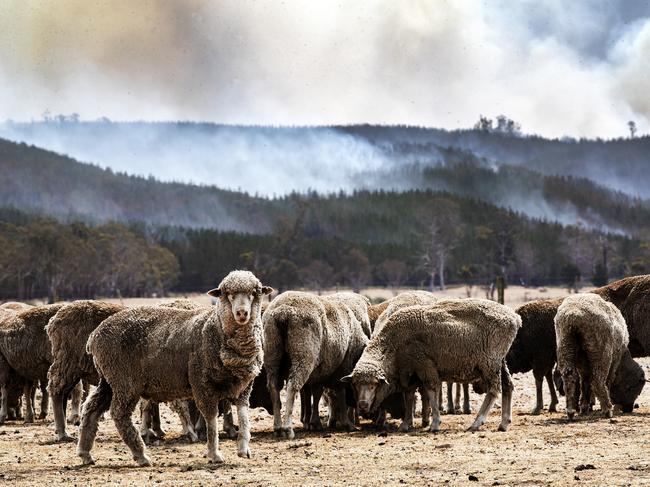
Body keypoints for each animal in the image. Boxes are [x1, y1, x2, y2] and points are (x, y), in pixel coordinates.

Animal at [78, 272, 270, 468]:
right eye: (227, 294)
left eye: (254, 293)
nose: (242, 313)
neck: (215, 328)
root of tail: (94, 336)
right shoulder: (202, 383)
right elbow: (211, 419)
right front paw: (214, 453)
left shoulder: (245, 385)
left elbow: (244, 415)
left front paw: (243, 449)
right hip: (124, 380)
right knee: (119, 413)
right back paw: (141, 455)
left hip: (109, 380)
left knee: (91, 409)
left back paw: (85, 453)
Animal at [262, 292, 364, 440]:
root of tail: (282, 312)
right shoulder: (342, 366)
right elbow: (340, 392)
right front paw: (346, 423)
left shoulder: (320, 371)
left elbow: (315, 393)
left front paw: (313, 422)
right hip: (303, 354)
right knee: (292, 386)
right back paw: (288, 428)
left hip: (272, 352)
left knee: (274, 387)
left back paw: (278, 427)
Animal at [342, 300, 520, 432]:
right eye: (355, 385)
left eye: (373, 385)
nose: (362, 405)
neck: (393, 345)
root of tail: (515, 317)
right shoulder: (409, 373)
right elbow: (409, 396)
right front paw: (405, 424)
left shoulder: (425, 366)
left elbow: (432, 392)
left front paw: (434, 423)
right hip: (500, 362)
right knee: (508, 386)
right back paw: (504, 423)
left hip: (489, 363)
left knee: (494, 390)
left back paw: (477, 422)